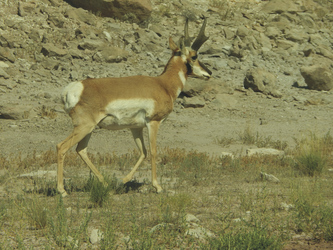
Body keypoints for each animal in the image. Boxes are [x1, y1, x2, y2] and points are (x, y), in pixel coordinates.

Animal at [56, 17, 210, 197]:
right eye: (194, 56)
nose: (209, 73)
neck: (163, 84)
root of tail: (73, 88)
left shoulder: (136, 128)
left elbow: (143, 152)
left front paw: (124, 180)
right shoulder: (153, 123)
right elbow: (153, 151)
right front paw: (157, 186)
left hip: (89, 129)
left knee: (81, 150)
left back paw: (105, 183)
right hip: (84, 127)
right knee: (61, 147)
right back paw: (62, 190)